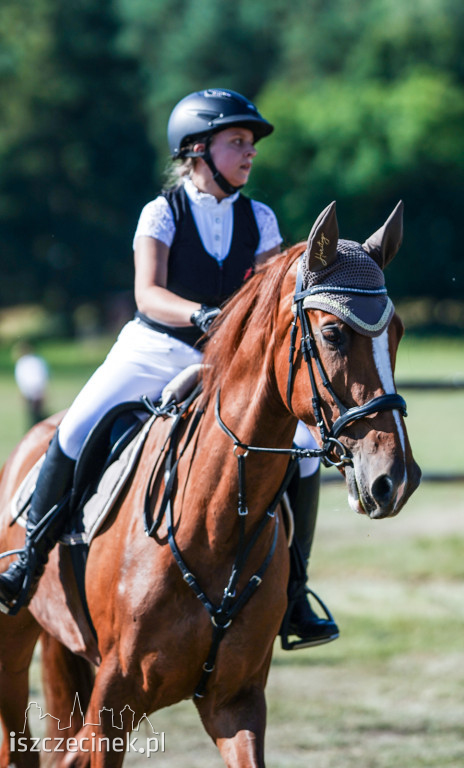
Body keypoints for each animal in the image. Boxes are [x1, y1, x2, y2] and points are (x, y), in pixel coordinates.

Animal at [0, 202, 420, 768]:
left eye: (396, 332)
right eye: (333, 334)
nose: (394, 480)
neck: (216, 525)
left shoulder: (236, 706)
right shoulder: (110, 710)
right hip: (11, 651)